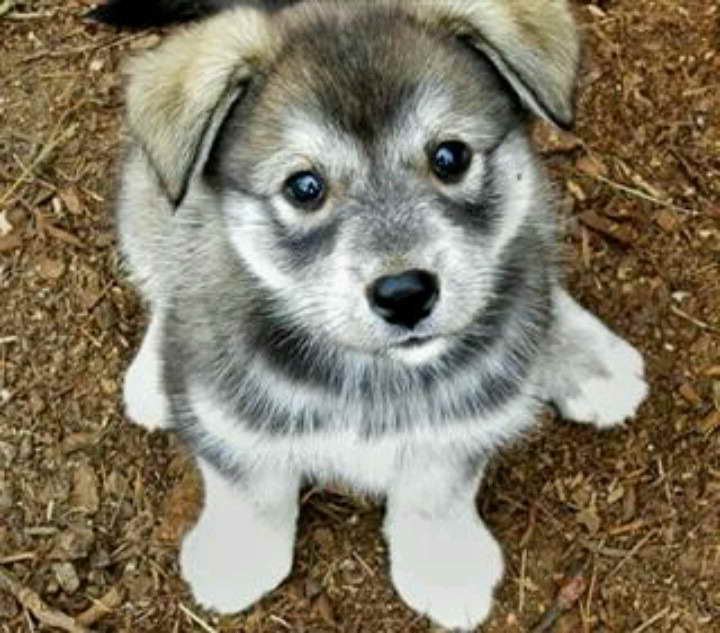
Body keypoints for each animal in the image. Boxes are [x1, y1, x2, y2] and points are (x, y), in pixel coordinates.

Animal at [112, 0, 648, 628]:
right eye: (304, 187)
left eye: (450, 157)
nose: (405, 293)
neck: (372, 373)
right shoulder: (228, 411)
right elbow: (250, 485)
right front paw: (238, 555)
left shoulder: (459, 422)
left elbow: (437, 487)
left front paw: (442, 563)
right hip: (153, 202)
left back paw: (587, 357)